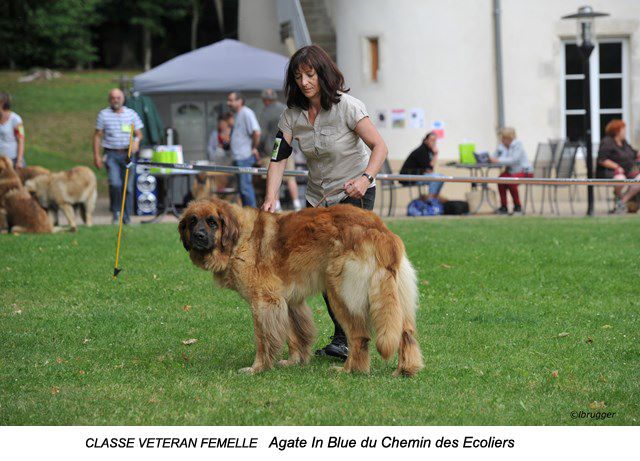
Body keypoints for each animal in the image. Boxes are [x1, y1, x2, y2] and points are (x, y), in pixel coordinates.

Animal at [178, 199, 422, 376]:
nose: (198, 236)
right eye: (192, 221)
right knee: (406, 333)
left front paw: (258, 368)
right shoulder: (288, 300)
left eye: (212, 222)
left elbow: (263, 338)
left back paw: (349, 371)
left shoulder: (263, 301)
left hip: (341, 294)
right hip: (394, 295)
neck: (240, 238)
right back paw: (405, 370)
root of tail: (379, 230)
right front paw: (294, 361)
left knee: (360, 336)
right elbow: (295, 334)